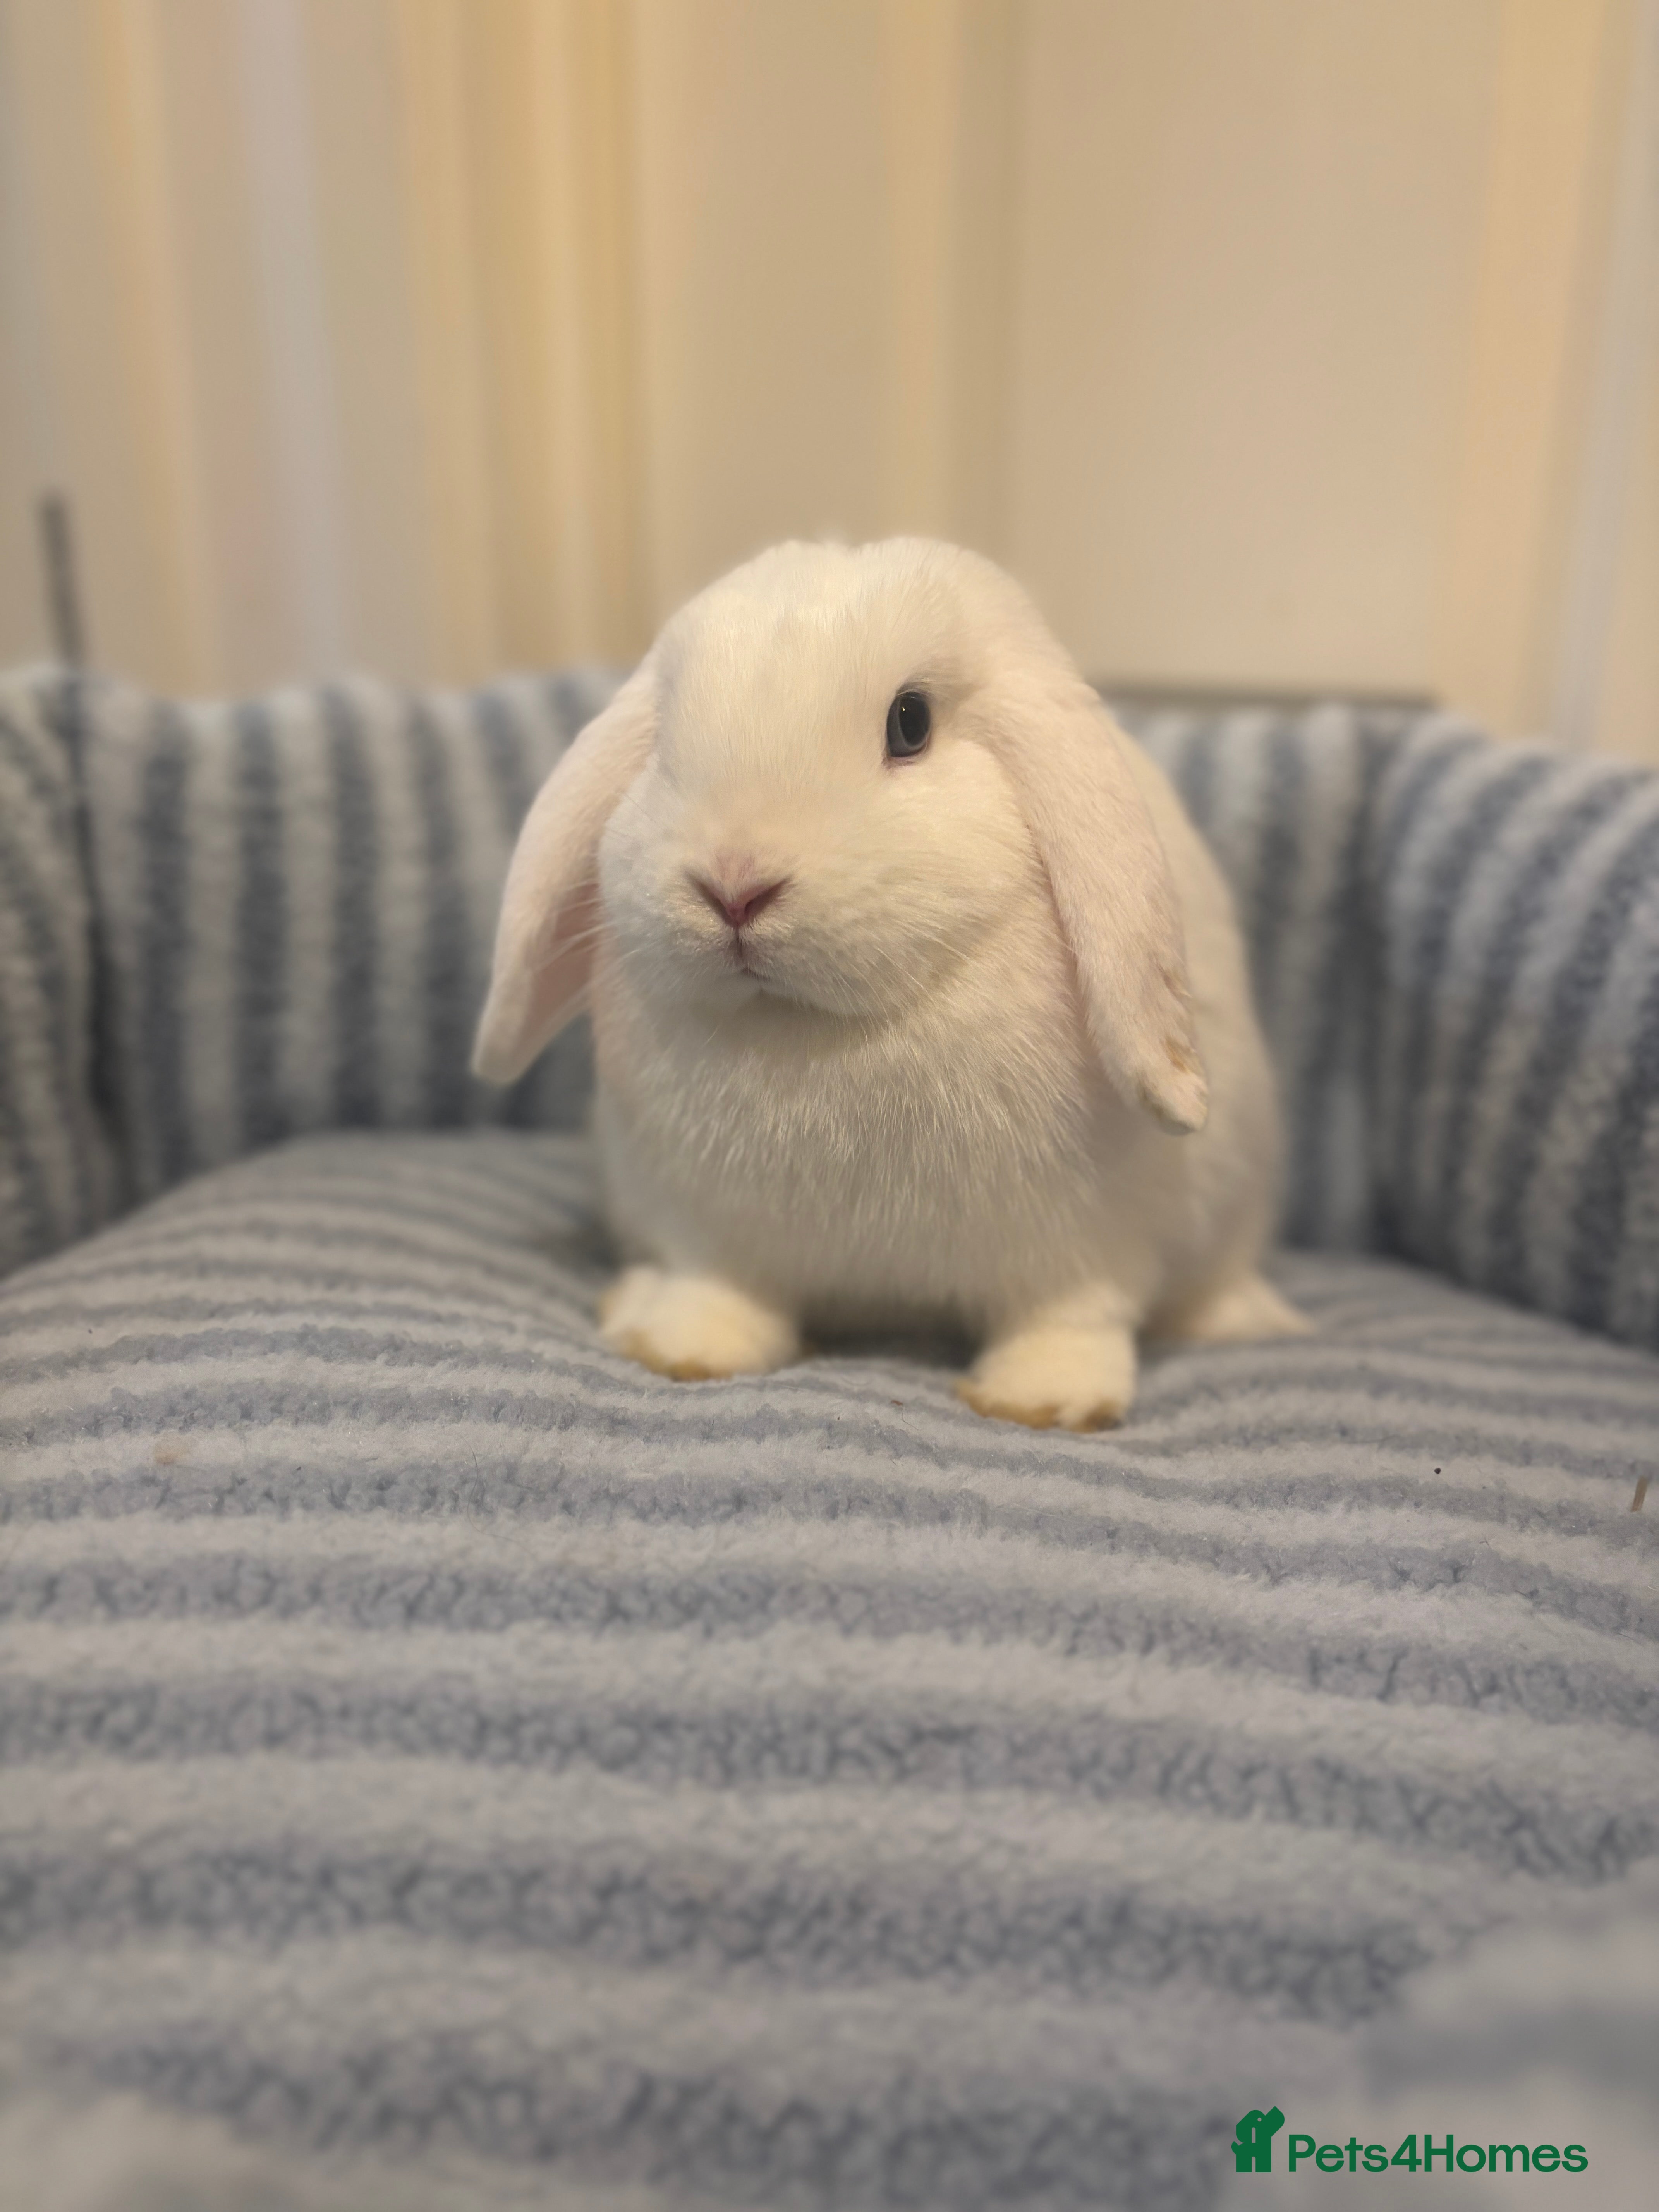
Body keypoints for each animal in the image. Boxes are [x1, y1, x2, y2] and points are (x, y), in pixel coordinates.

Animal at [474, 537, 1307, 1428]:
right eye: (663, 742)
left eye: (910, 723)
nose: (734, 885)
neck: (808, 1029)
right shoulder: (707, 1231)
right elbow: (719, 1295)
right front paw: (682, 1352)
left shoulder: (1085, 1250)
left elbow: (1069, 1318)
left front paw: (1044, 1403)